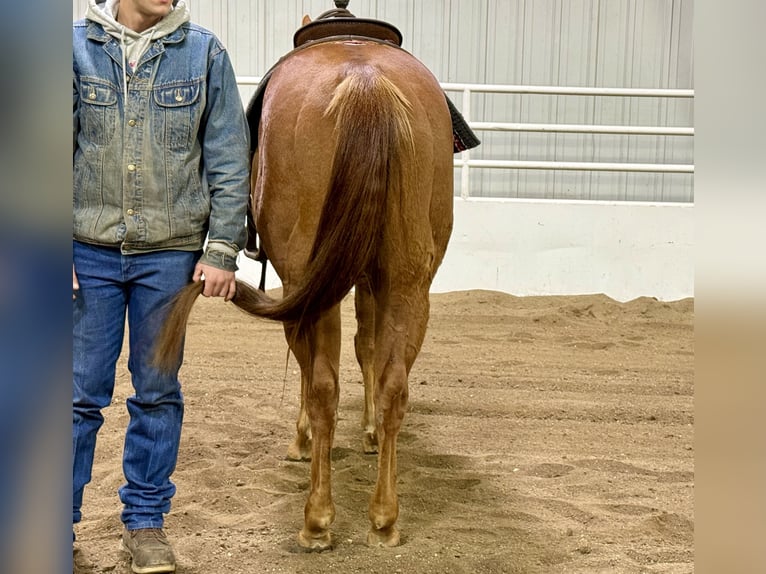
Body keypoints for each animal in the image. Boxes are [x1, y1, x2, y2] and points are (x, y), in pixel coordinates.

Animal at [153, 20, 454, 550]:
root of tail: (365, 80)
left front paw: (301, 440)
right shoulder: (366, 285)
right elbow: (367, 349)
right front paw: (368, 433)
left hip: (313, 286)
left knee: (322, 386)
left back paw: (317, 518)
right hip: (408, 285)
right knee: (392, 385)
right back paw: (384, 517)